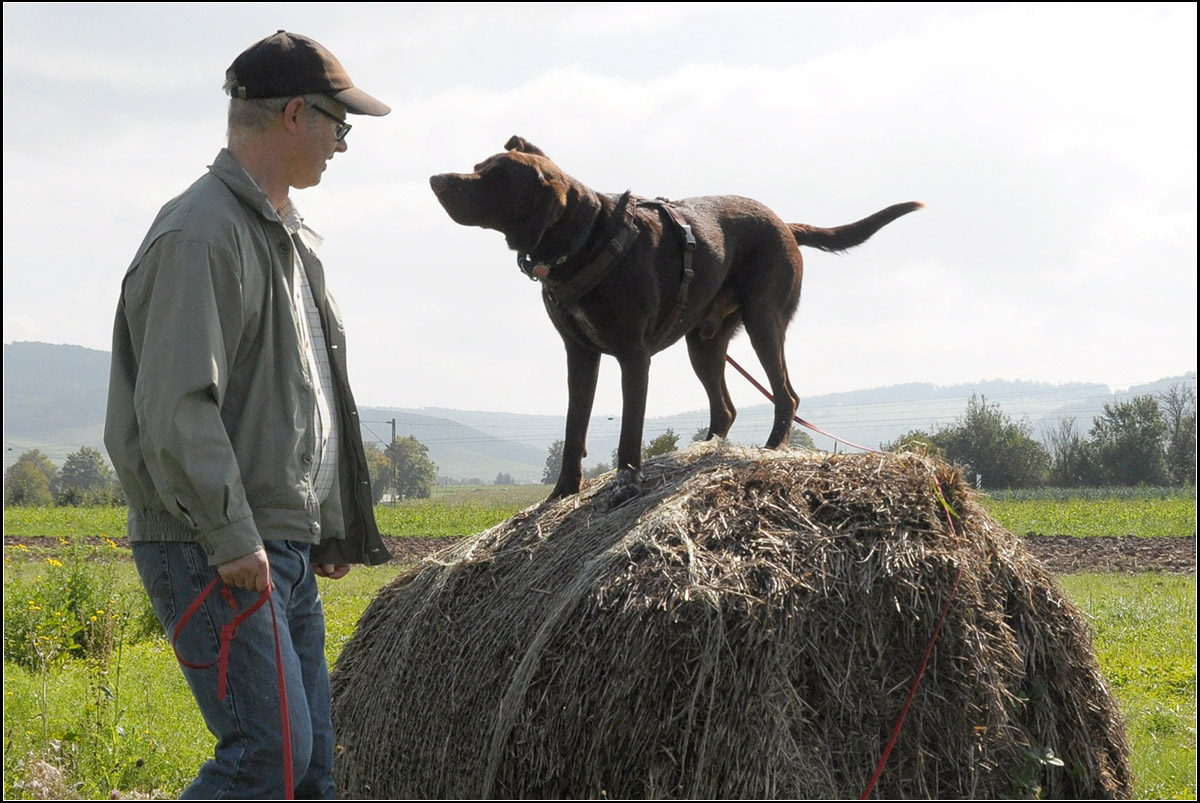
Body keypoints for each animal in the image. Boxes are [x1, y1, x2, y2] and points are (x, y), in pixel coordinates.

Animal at [432, 134, 926, 504]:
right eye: (479, 165)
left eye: (498, 177)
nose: (436, 179)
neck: (583, 241)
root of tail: (787, 224)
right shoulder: (580, 354)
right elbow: (575, 428)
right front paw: (562, 494)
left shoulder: (633, 356)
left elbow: (629, 431)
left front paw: (625, 487)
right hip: (703, 343)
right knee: (725, 408)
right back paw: (707, 450)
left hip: (764, 322)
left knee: (786, 395)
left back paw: (769, 451)